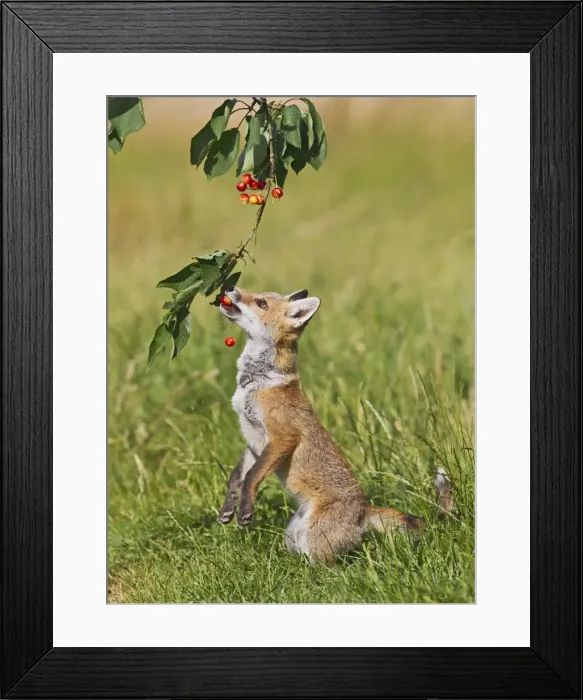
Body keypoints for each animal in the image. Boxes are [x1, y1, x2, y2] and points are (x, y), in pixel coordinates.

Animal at [217, 286, 454, 565]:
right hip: (293, 536)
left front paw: (245, 510)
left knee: (333, 567)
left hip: (314, 540)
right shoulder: (254, 440)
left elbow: (252, 476)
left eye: (261, 302)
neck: (257, 383)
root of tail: (364, 510)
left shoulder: (282, 438)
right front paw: (228, 508)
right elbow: (237, 476)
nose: (230, 288)